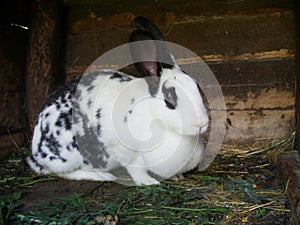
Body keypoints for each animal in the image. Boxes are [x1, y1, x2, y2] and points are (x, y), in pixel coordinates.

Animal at [26, 15, 209, 185]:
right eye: (169, 96)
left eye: (196, 87)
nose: (201, 123)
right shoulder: (126, 152)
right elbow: (136, 169)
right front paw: (148, 181)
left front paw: (177, 176)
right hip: (68, 157)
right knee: (56, 171)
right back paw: (103, 176)